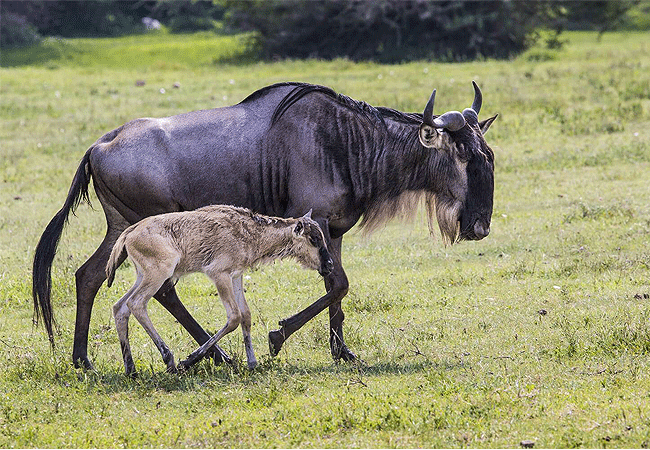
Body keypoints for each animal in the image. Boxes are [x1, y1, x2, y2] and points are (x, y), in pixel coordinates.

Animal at [105, 206, 332, 374]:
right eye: (314, 239)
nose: (329, 265)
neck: (248, 232)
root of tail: (130, 233)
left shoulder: (236, 276)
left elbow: (246, 315)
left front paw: (252, 362)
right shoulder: (219, 275)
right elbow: (234, 317)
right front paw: (189, 360)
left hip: (143, 276)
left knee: (120, 307)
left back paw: (131, 369)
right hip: (159, 273)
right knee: (136, 304)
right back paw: (169, 360)